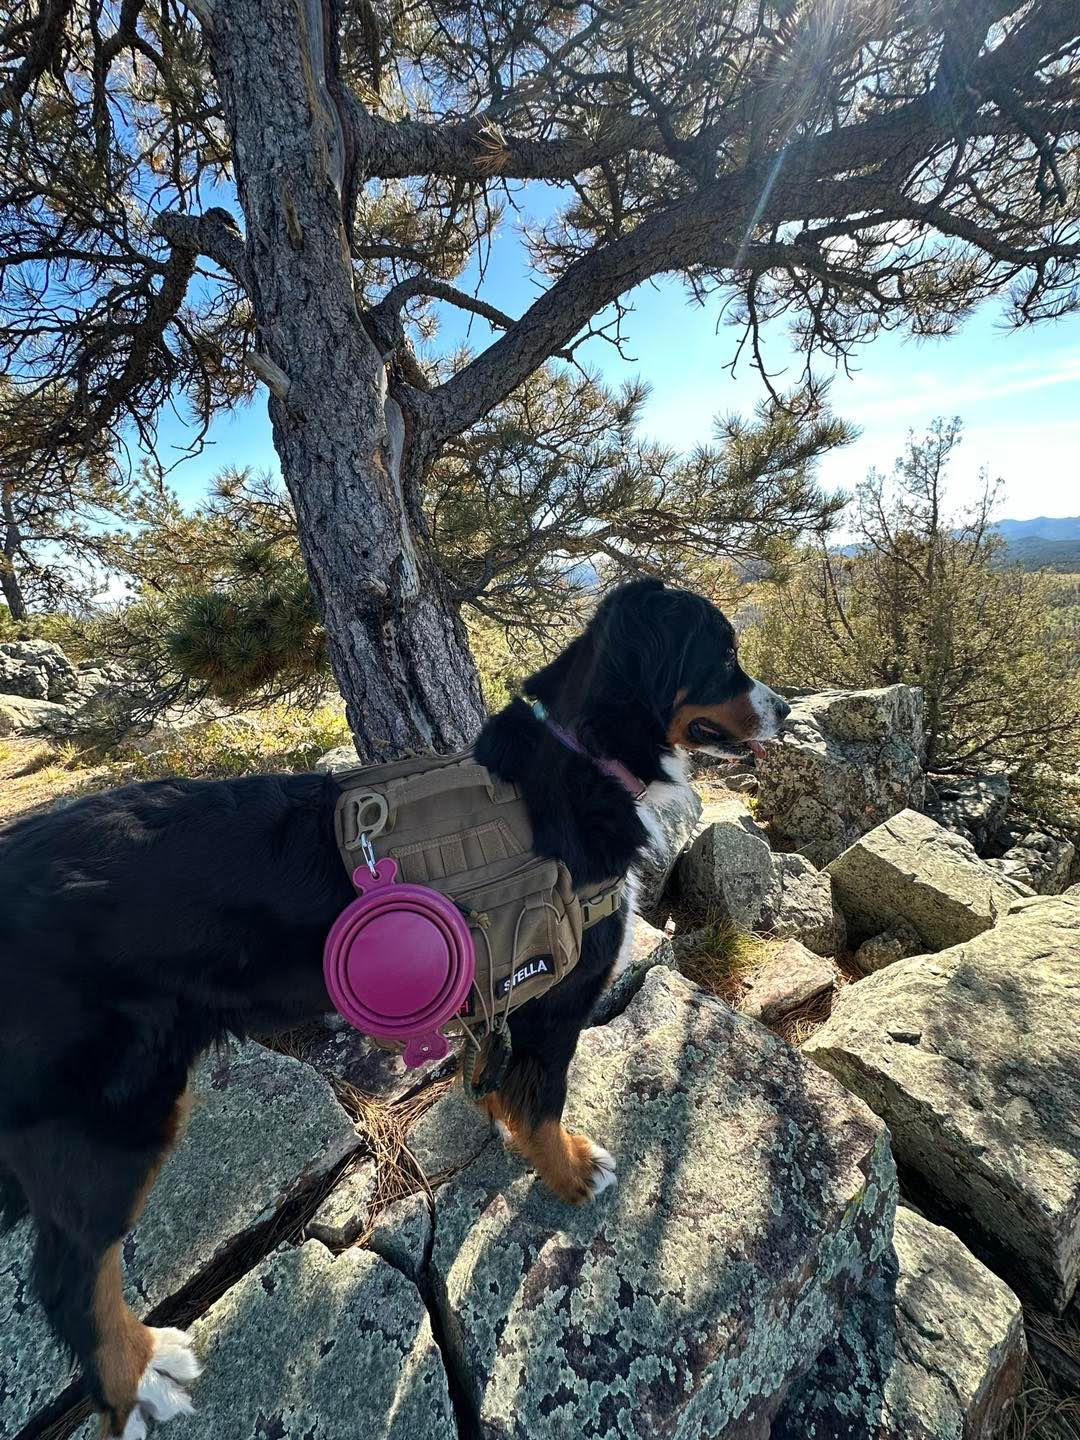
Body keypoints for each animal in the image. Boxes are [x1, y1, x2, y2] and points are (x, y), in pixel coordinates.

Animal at [0, 578, 789, 1438]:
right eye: (723, 656)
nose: (784, 708)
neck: (584, 758)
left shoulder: (505, 993)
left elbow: (503, 1085)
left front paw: (513, 1130)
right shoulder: (558, 999)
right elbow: (546, 1100)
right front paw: (570, 1171)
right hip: (117, 1112)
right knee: (71, 1275)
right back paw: (140, 1374)